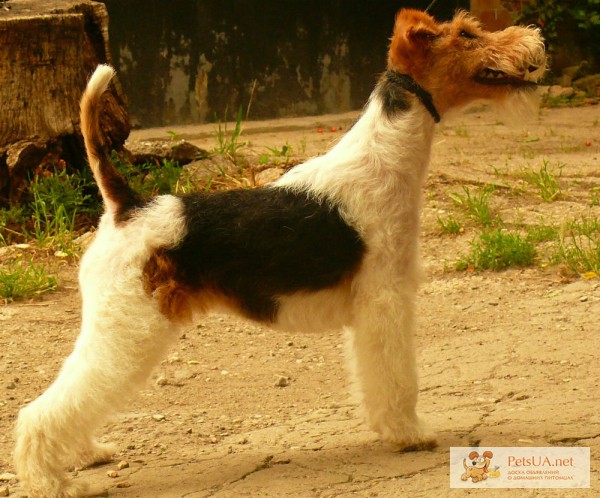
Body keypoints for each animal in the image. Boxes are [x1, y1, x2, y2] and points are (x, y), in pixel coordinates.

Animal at [14, 8, 544, 498]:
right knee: (45, 408)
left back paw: (86, 453)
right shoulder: (386, 300)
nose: (534, 37)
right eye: (468, 35)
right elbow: (397, 379)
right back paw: (52, 482)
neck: (385, 156)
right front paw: (409, 434)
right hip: (127, 325)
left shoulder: (371, 308)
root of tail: (127, 206)